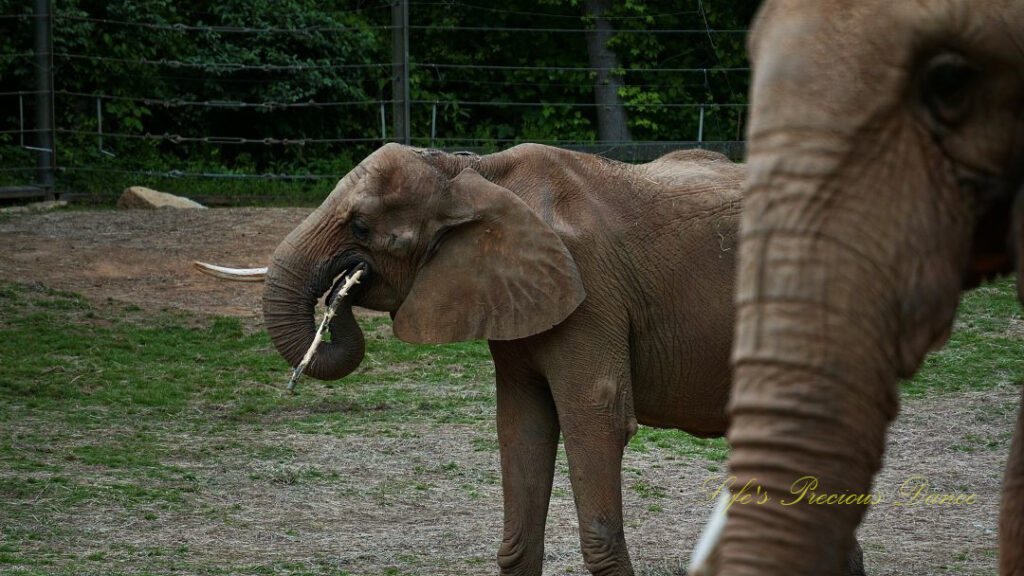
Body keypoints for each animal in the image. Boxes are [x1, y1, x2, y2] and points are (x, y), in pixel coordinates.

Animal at [220, 140, 753, 573]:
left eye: (361, 228)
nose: (342, 288)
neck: (472, 171)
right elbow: (523, 424)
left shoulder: (593, 294)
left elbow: (596, 418)